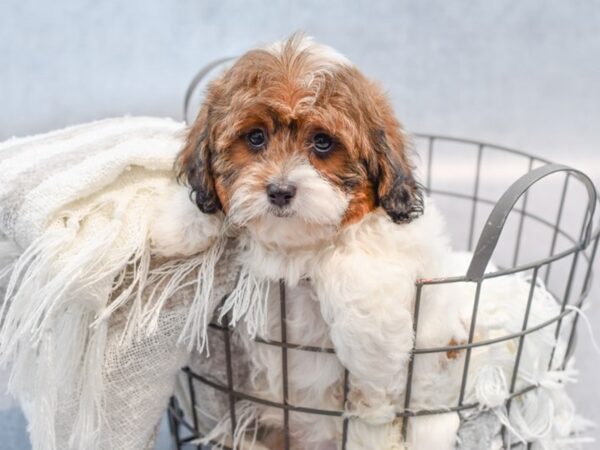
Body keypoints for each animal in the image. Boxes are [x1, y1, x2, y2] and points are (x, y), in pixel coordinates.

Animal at [176, 35, 466, 450]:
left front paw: (376, 356)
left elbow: (357, 257)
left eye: (323, 143)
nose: (280, 191)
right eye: (255, 137)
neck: (300, 251)